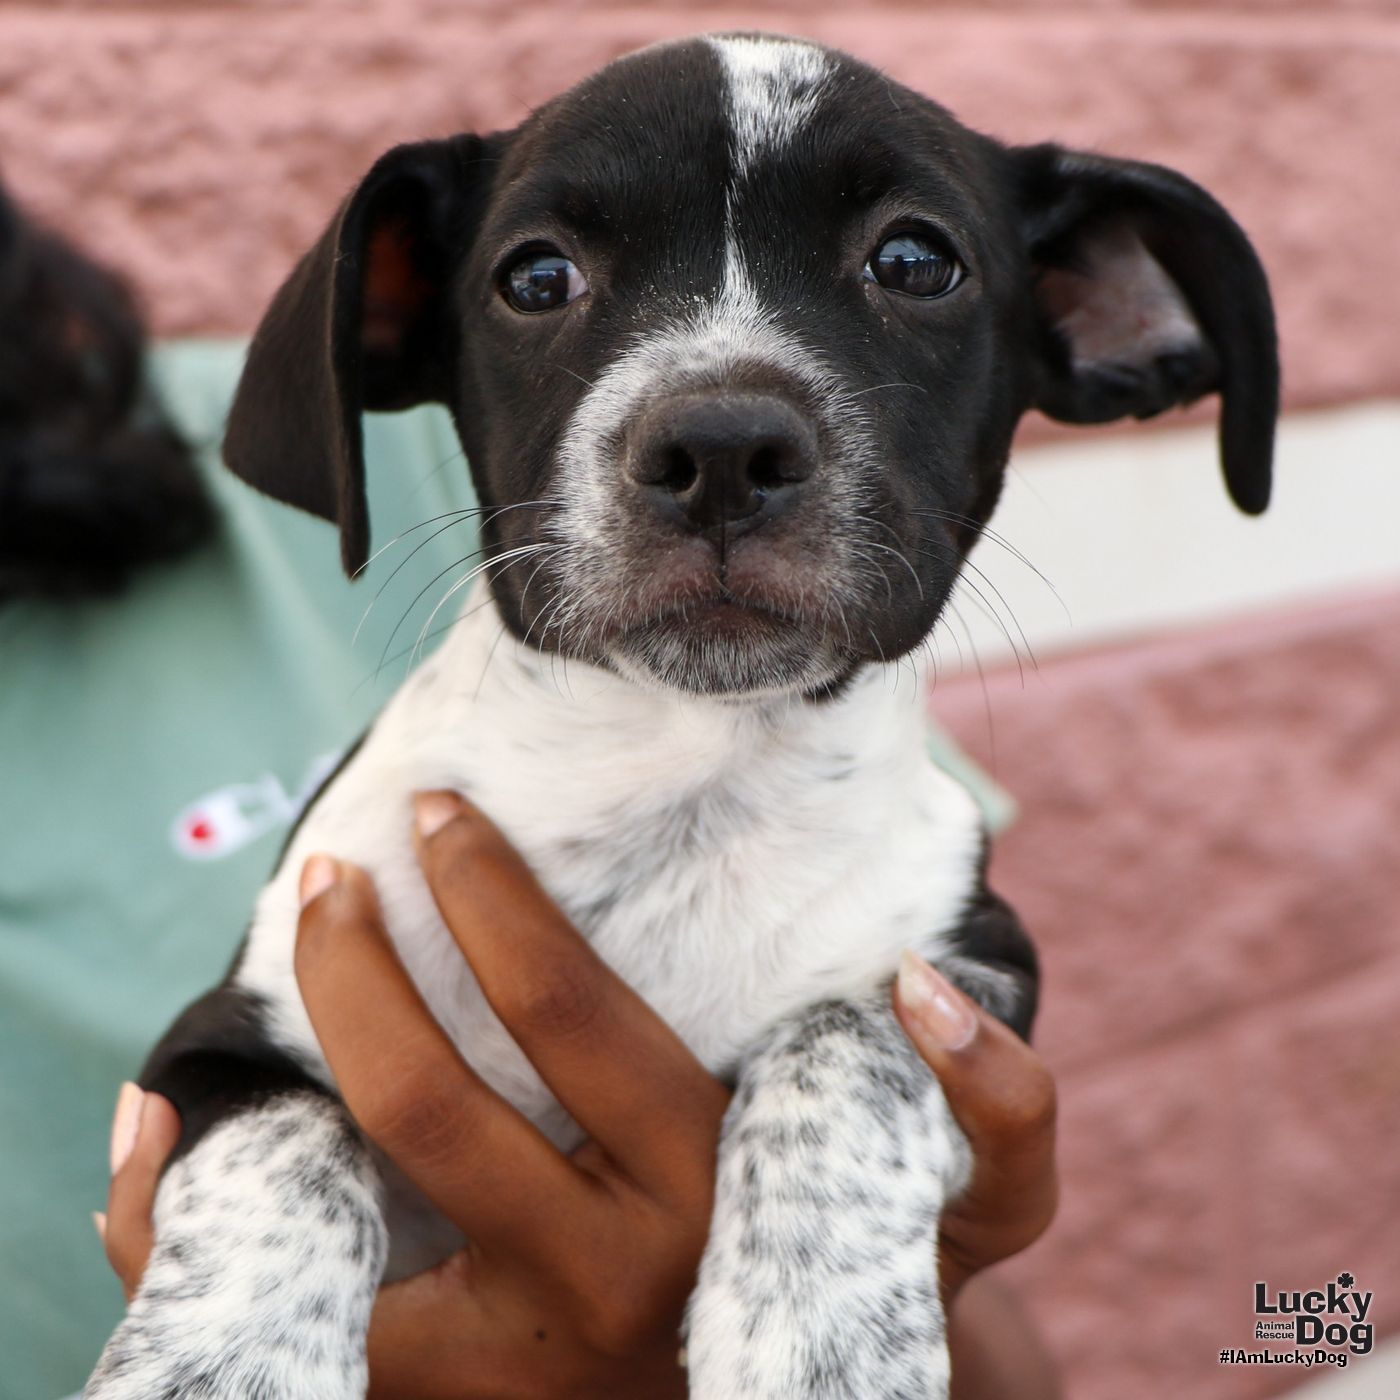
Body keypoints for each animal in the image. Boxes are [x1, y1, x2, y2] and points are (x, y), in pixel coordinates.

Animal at [81, 32, 1276, 1400]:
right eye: (535, 276)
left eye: (914, 261)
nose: (719, 448)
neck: (678, 781)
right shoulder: (225, 1035)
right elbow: (284, 1143)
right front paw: (216, 1364)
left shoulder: (972, 976)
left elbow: (843, 1037)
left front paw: (816, 1330)